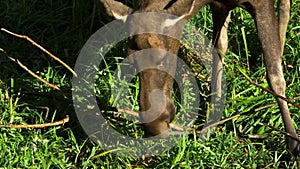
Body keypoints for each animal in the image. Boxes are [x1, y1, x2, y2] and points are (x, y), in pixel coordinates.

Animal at [99, 0, 298, 156]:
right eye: (132, 61)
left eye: (162, 59)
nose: (154, 127)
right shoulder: (219, 6)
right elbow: (219, 50)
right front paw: (209, 126)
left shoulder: (260, 4)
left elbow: (275, 78)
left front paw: (293, 142)